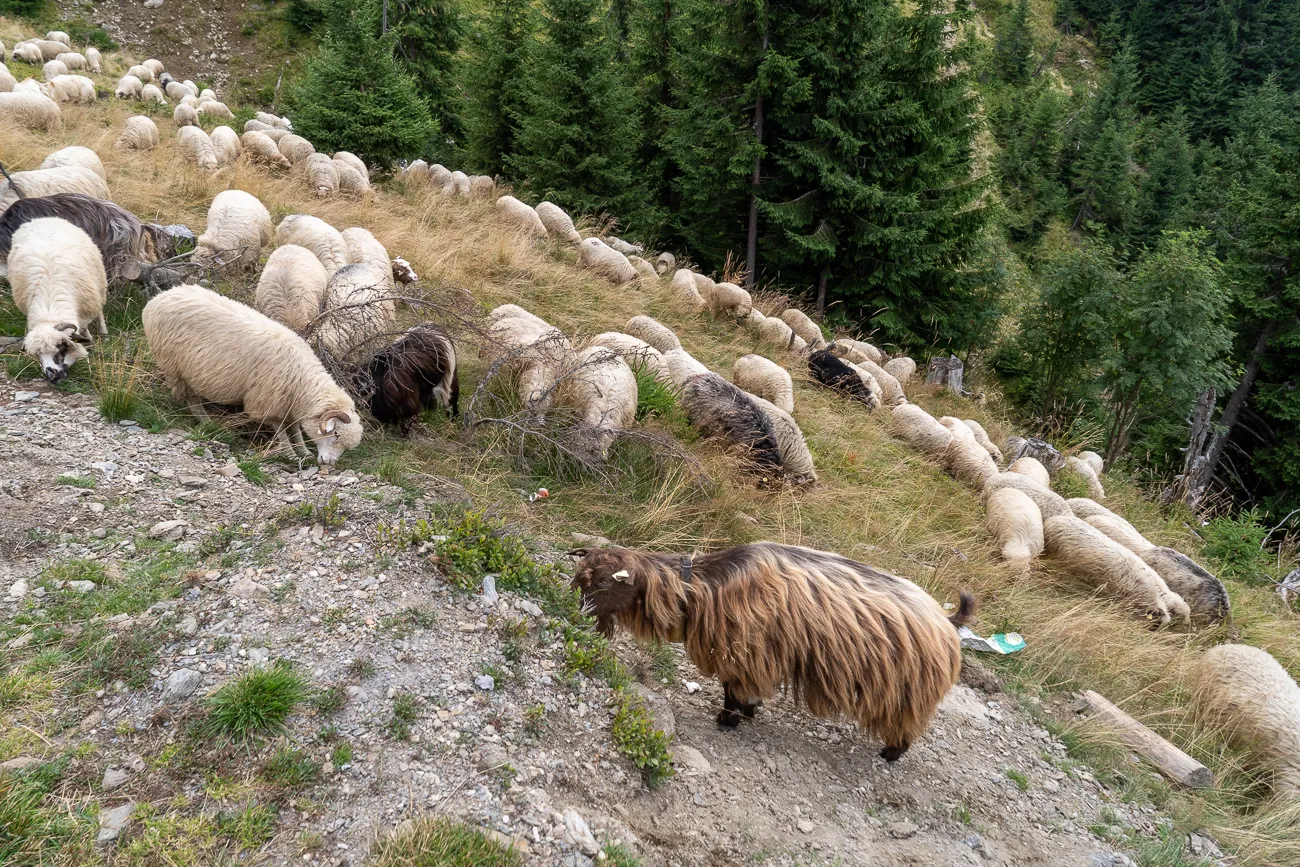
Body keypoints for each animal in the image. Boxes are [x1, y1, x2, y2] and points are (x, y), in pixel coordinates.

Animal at [7, 217, 107, 383]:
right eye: (38, 354)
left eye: (61, 347)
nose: (51, 375)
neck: (50, 310)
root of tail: (43, 218)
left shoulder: (88, 306)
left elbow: (85, 329)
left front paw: (92, 340)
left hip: (100, 285)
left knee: (100, 312)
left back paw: (104, 334)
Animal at [143, 284, 362, 464]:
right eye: (336, 435)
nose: (329, 463)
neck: (301, 380)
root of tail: (155, 300)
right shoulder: (267, 401)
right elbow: (281, 431)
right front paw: (290, 454)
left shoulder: (290, 404)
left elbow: (296, 429)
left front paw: (303, 451)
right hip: (175, 367)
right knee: (192, 399)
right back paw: (207, 422)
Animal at [571, 543, 973, 757]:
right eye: (582, 578)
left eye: (603, 582)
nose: (577, 613)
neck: (701, 590)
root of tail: (947, 622)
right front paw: (748, 712)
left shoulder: (746, 652)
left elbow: (733, 690)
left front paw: (730, 718)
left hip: (908, 689)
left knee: (906, 724)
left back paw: (891, 753)